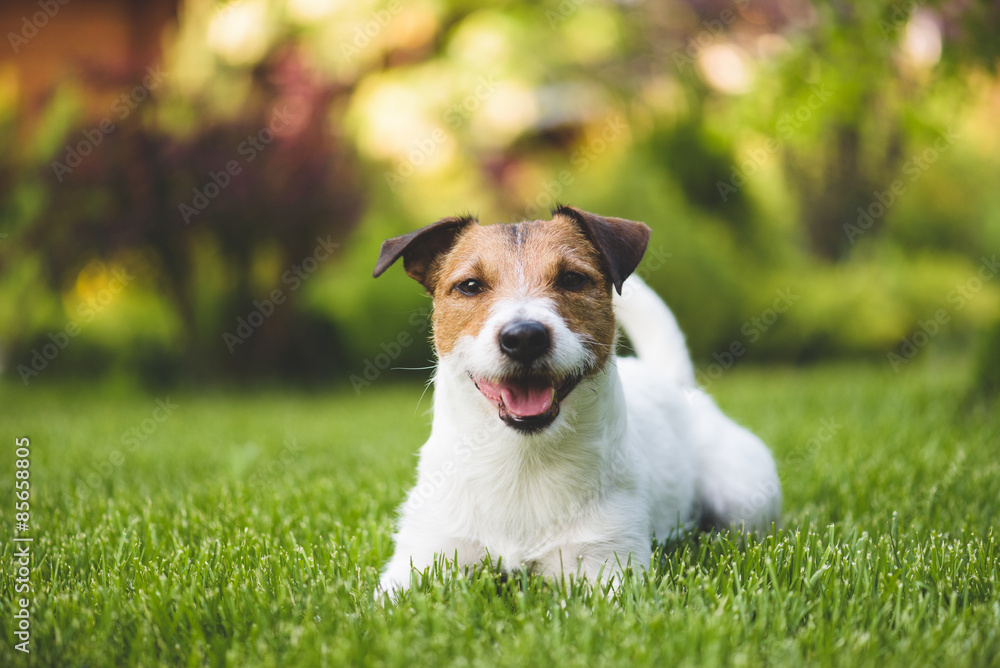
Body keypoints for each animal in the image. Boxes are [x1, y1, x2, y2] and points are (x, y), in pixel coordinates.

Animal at [374, 206, 780, 592]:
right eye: (470, 286)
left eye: (572, 278)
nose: (524, 337)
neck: (521, 462)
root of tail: (675, 383)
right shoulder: (423, 558)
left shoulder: (610, 565)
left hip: (743, 495)